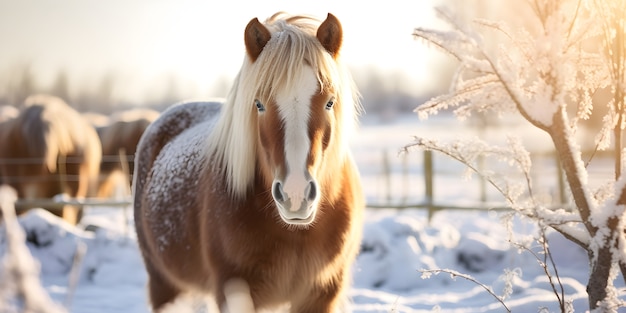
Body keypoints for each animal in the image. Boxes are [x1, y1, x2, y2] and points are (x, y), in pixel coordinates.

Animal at [134, 12, 364, 312]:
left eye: (329, 102)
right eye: (259, 104)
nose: (295, 195)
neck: (296, 233)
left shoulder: (322, 293)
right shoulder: (234, 290)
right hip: (164, 285)